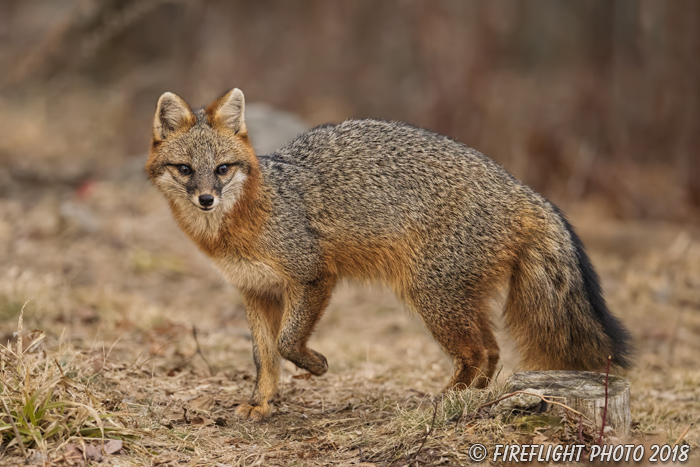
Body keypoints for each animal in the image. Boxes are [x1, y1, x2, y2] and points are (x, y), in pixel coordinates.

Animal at [145, 88, 632, 420]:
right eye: (185, 169)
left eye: (222, 169)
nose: (206, 199)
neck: (246, 220)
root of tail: (520, 188)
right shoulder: (256, 292)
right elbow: (265, 358)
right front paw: (261, 404)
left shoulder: (314, 276)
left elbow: (287, 342)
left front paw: (317, 365)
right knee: (491, 353)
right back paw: (466, 398)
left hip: (432, 298)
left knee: (481, 352)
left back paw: (447, 399)